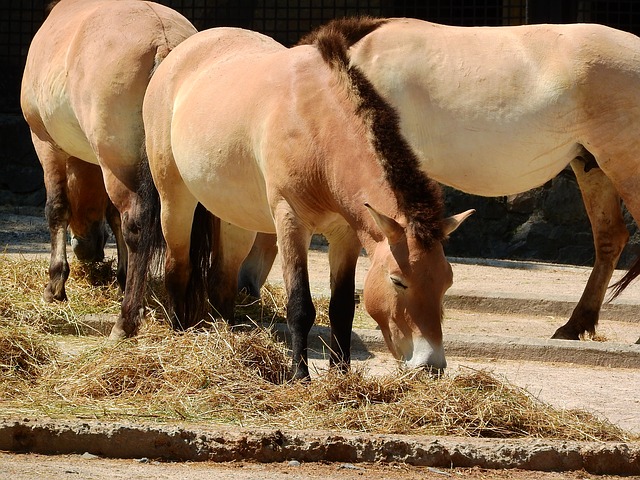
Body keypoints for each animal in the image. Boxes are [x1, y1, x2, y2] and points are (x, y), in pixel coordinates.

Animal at [21, 0, 196, 334]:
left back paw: (126, 320)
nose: (87, 250)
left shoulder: (45, 144)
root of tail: (164, 40)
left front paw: (55, 286)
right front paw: (122, 279)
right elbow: (113, 217)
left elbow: (57, 208)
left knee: (136, 226)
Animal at [142, 26, 472, 378]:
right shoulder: (291, 222)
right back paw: (179, 335)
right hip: (175, 199)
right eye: (398, 281)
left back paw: (229, 342)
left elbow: (342, 308)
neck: (314, 122)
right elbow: (300, 306)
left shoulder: (345, 234)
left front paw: (341, 374)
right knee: (178, 267)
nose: (431, 365)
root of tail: (178, 54)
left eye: (447, 281)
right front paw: (300, 376)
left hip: (236, 218)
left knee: (221, 282)